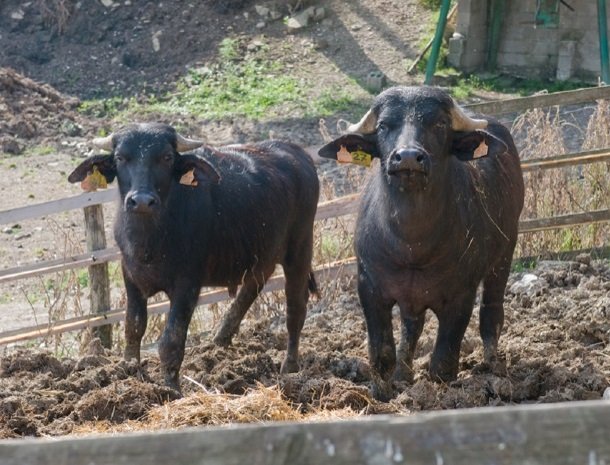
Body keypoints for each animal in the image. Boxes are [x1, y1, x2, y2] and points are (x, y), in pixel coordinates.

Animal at [69, 122, 318, 388]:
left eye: (167, 157)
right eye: (120, 157)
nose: (142, 201)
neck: (150, 241)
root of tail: (296, 152)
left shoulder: (187, 284)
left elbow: (171, 340)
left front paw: (171, 388)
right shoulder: (131, 277)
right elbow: (133, 327)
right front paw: (129, 372)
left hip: (300, 250)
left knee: (295, 308)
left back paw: (289, 367)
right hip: (262, 255)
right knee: (251, 290)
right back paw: (218, 341)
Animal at [318, 86, 524, 398]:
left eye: (439, 124)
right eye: (383, 125)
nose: (407, 158)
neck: (411, 248)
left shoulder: (460, 296)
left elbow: (443, 363)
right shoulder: (369, 288)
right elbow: (382, 354)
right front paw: (384, 392)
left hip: (504, 255)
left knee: (492, 314)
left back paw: (492, 366)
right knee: (412, 327)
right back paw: (404, 373)